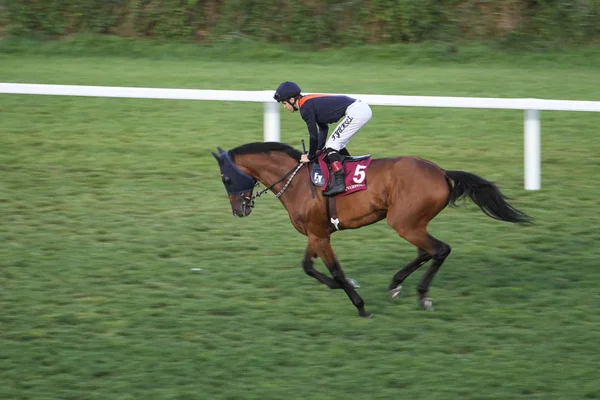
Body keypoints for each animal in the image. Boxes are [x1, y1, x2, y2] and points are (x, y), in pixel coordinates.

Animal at [213, 142, 532, 318]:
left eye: (226, 179)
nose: (239, 210)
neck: (299, 181)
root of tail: (441, 172)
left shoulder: (320, 235)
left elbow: (334, 270)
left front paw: (360, 306)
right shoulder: (317, 234)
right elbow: (308, 266)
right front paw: (347, 285)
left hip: (403, 222)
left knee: (439, 249)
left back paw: (422, 295)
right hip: (411, 222)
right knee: (426, 251)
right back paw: (396, 284)